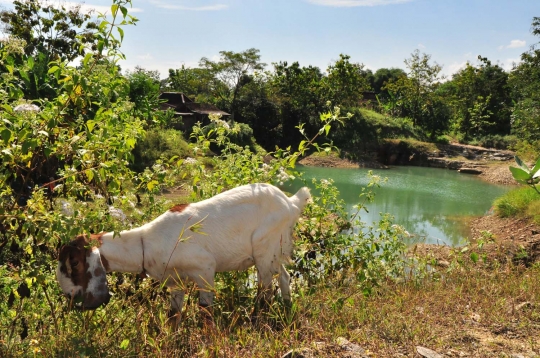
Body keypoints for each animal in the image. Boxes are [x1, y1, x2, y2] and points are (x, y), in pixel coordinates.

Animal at [56, 183, 310, 326]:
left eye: (74, 263)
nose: (70, 296)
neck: (145, 242)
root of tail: (291, 203)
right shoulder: (174, 282)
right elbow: (172, 315)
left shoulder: (205, 269)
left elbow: (206, 312)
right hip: (275, 250)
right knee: (284, 277)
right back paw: (287, 310)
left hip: (264, 250)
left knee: (265, 289)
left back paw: (259, 321)